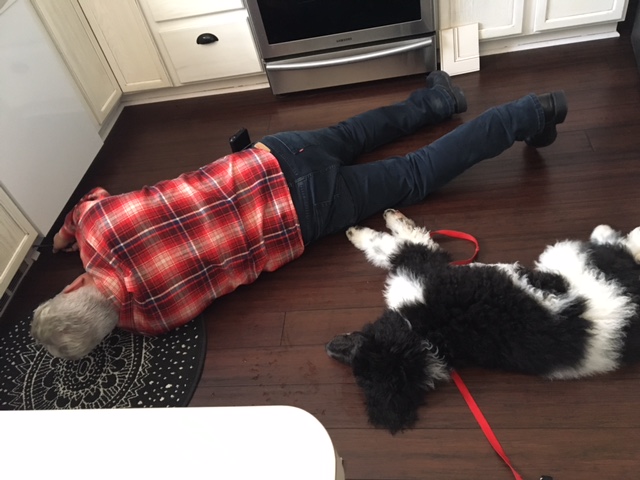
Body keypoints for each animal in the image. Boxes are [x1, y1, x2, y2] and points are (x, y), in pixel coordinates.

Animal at [326, 209, 640, 433]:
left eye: (354, 348)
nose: (327, 349)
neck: (424, 338)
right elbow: (390, 246)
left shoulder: (420, 268)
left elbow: (392, 244)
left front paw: (369, 228)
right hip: (572, 260)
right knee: (619, 249)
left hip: (573, 259)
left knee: (617, 248)